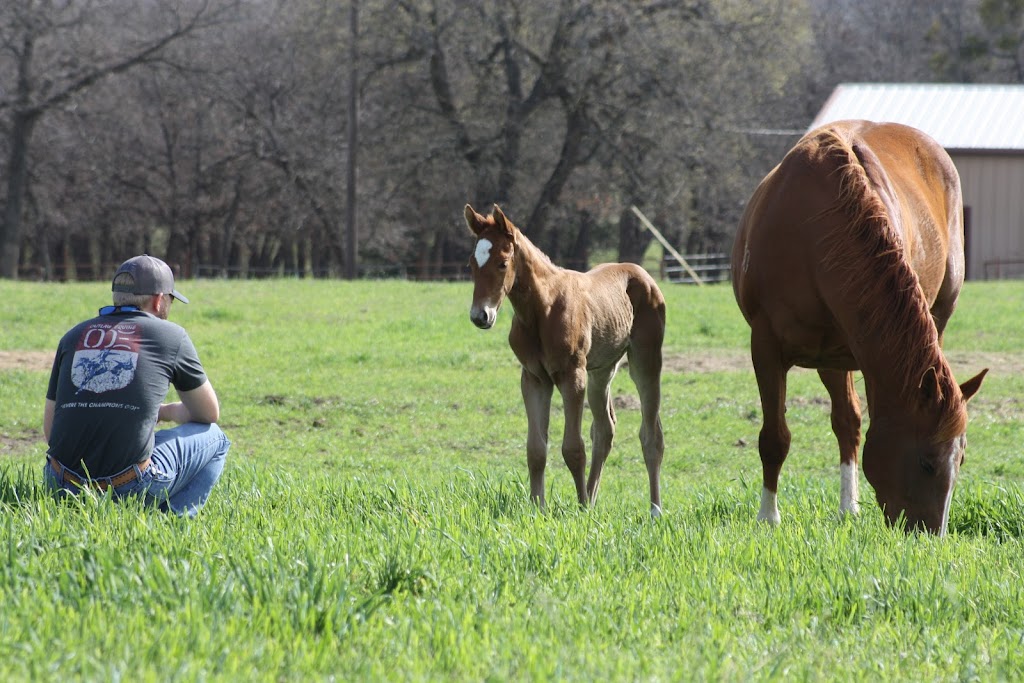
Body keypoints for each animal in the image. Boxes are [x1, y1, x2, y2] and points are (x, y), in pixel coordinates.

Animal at [468, 204, 667, 518]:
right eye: (472, 265)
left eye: (502, 263)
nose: (480, 316)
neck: (541, 311)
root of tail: (641, 273)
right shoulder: (534, 379)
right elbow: (536, 449)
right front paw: (538, 508)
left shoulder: (572, 376)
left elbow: (573, 448)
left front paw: (580, 507)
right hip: (601, 371)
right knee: (605, 429)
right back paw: (594, 500)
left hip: (645, 361)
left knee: (651, 435)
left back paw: (654, 510)